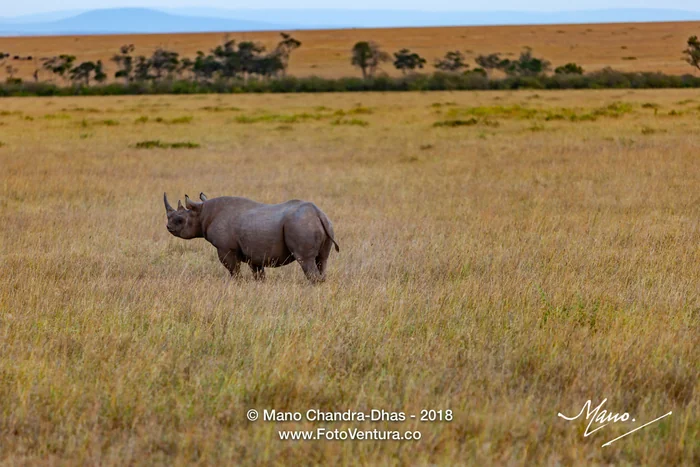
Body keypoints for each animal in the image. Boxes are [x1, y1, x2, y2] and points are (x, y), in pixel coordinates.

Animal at [163, 192, 339, 282]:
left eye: (180, 220)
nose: (168, 227)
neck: (202, 213)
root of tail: (318, 214)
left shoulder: (225, 248)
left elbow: (233, 269)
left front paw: (237, 283)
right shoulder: (255, 252)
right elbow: (258, 274)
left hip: (300, 225)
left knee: (305, 260)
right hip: (324, 224)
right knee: (322, 260)